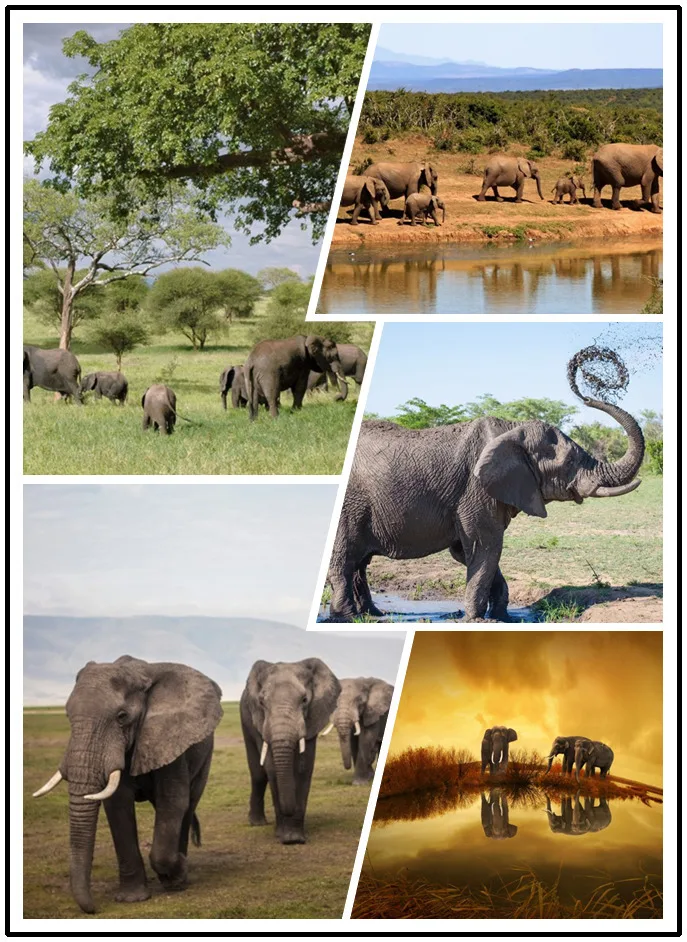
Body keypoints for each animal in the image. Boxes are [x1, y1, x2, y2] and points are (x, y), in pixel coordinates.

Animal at [31, 655, 223, 914]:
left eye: (122, 716)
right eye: (67, 716)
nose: (94, 909)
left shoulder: (169, 737)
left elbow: (173, 802)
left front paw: (178, 874)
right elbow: (118, 806)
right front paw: (132, 899)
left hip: (205, 756)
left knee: (188, 805)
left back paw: (179, 875)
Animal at [240, 657, 340, 844]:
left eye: (305, 699)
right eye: (262, 702)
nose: (289, 809)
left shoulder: (312, 718)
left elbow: (304, 768)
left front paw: (295, 838)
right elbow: (272, 769)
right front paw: (284, 836)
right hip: (245, 719)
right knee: (258, 774)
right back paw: (257, 823)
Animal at [327, 396, 644, 622]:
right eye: (569, 463)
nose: (586, 396)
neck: (512, 429)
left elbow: (470, 552)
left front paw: (502, 617)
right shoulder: (475, 490)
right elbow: (485, 547)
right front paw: (477, 619)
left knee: (359, 563)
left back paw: (372, 614)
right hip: (349, 508)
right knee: (344, 559)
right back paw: (347, 618)